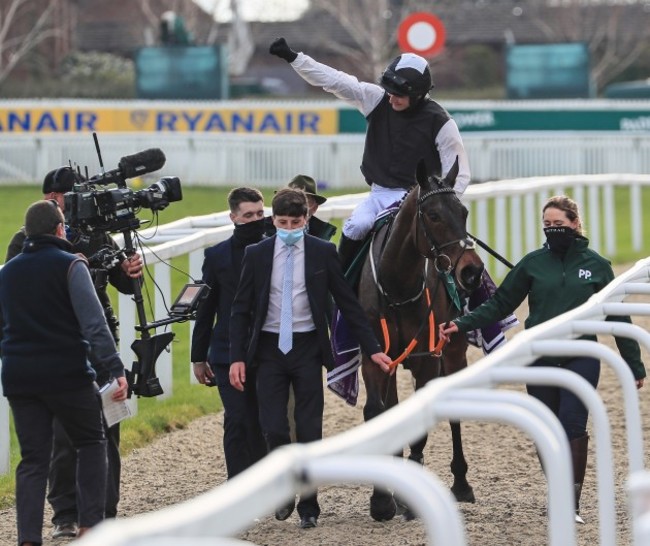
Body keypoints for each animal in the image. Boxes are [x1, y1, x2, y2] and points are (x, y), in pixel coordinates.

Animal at [360, 157, 480, 520]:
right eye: (434, 215)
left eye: (463, 212)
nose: (471, 271)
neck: (398, 287)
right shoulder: (375, 356)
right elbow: (377, 411)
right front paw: (383, 499)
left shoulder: (427, 358)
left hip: (453, 352)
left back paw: (461, 483)